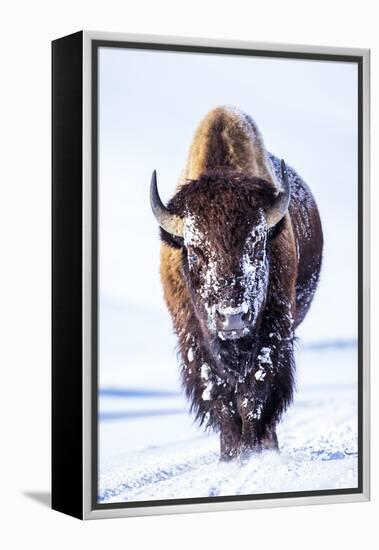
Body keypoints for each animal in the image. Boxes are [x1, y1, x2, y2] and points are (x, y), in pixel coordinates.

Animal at [150, 104, 322, 462]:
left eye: (257, 246)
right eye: (195, 251)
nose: (232, 318)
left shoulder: (273, 334)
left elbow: (254, 394)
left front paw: (252, 452)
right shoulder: (194, 342)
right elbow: (220, 399)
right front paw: (231, 455)